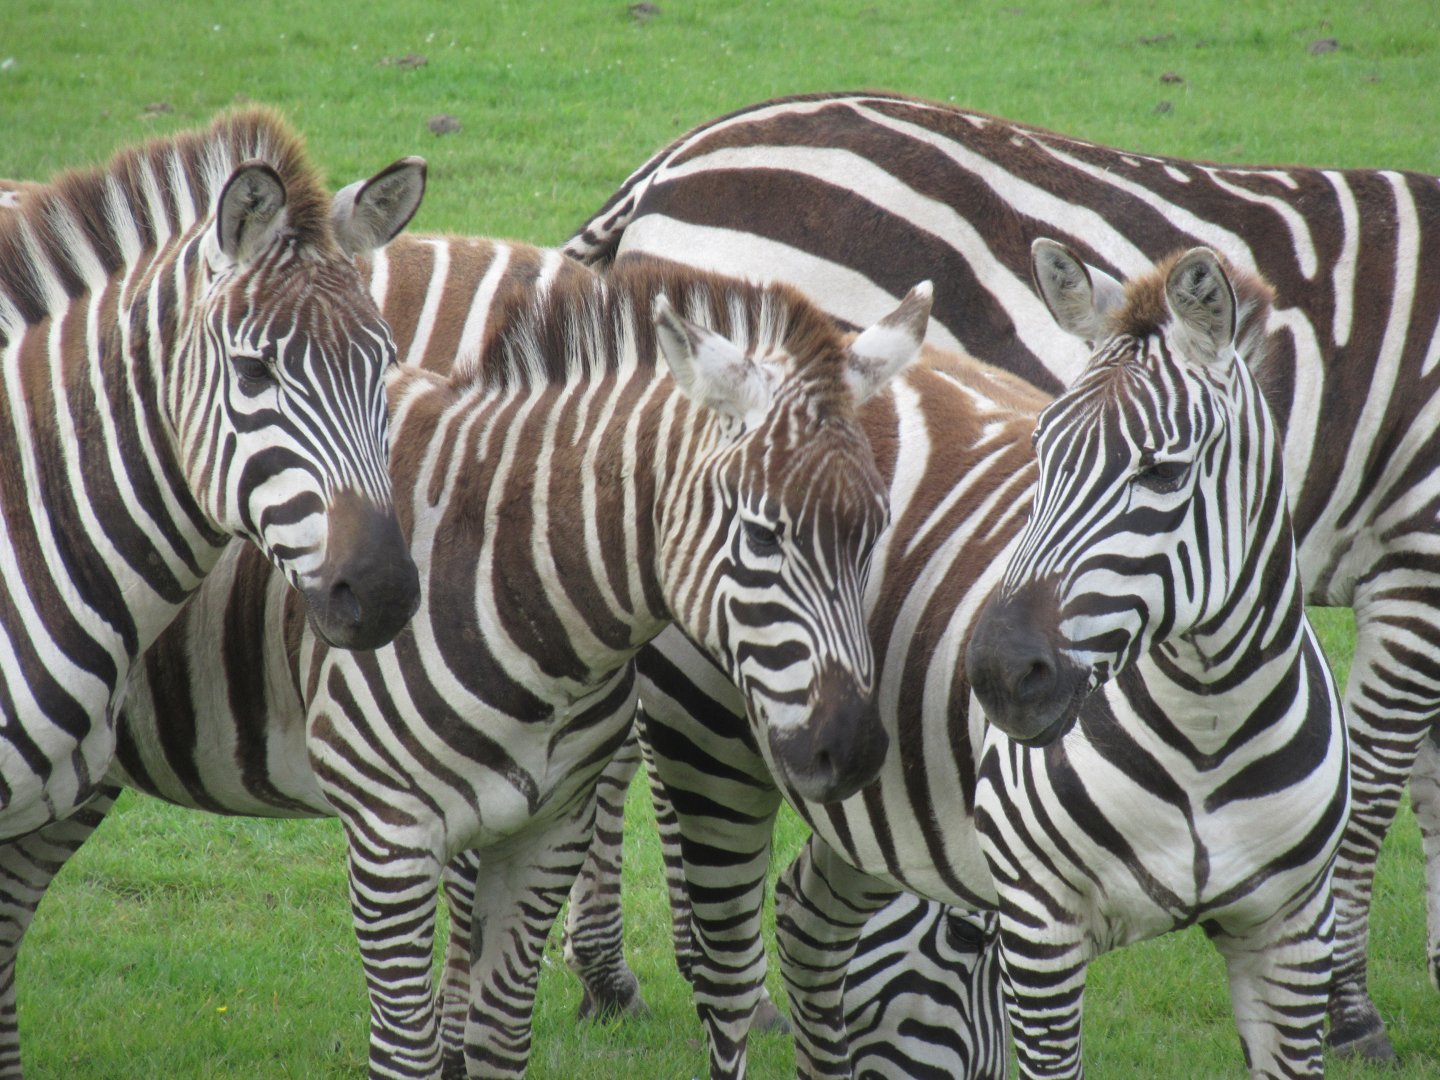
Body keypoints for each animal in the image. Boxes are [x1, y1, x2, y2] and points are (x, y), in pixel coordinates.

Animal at [61, 237, 933, 1078]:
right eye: (761, 535)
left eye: (875, 527)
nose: (853, 750)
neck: (511, 574)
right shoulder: (390, 837)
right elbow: (406, 1051)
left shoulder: (551, 829)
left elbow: (499, 1039)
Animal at [561, 89, 1432, 1060]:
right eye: (1041, 451)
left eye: (1165, 472)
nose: (1000, 671)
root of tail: (675, 157)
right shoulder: (1417, 545)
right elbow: (1388, 783)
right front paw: (1356, 1012)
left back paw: (611, 977)